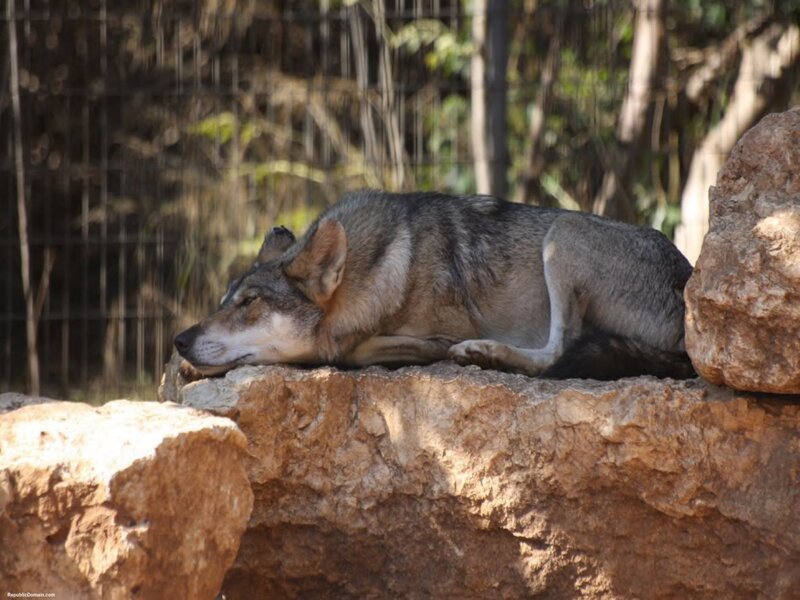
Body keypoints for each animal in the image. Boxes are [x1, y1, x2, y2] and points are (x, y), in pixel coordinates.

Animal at [174, 191, 695, 380]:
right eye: (224, 301)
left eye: (249, 303)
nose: (179, 339)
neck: (382, 267)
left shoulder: (440, 331)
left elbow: (351, 352)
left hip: (563, 233)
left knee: (556, 353)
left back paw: (486, 353)